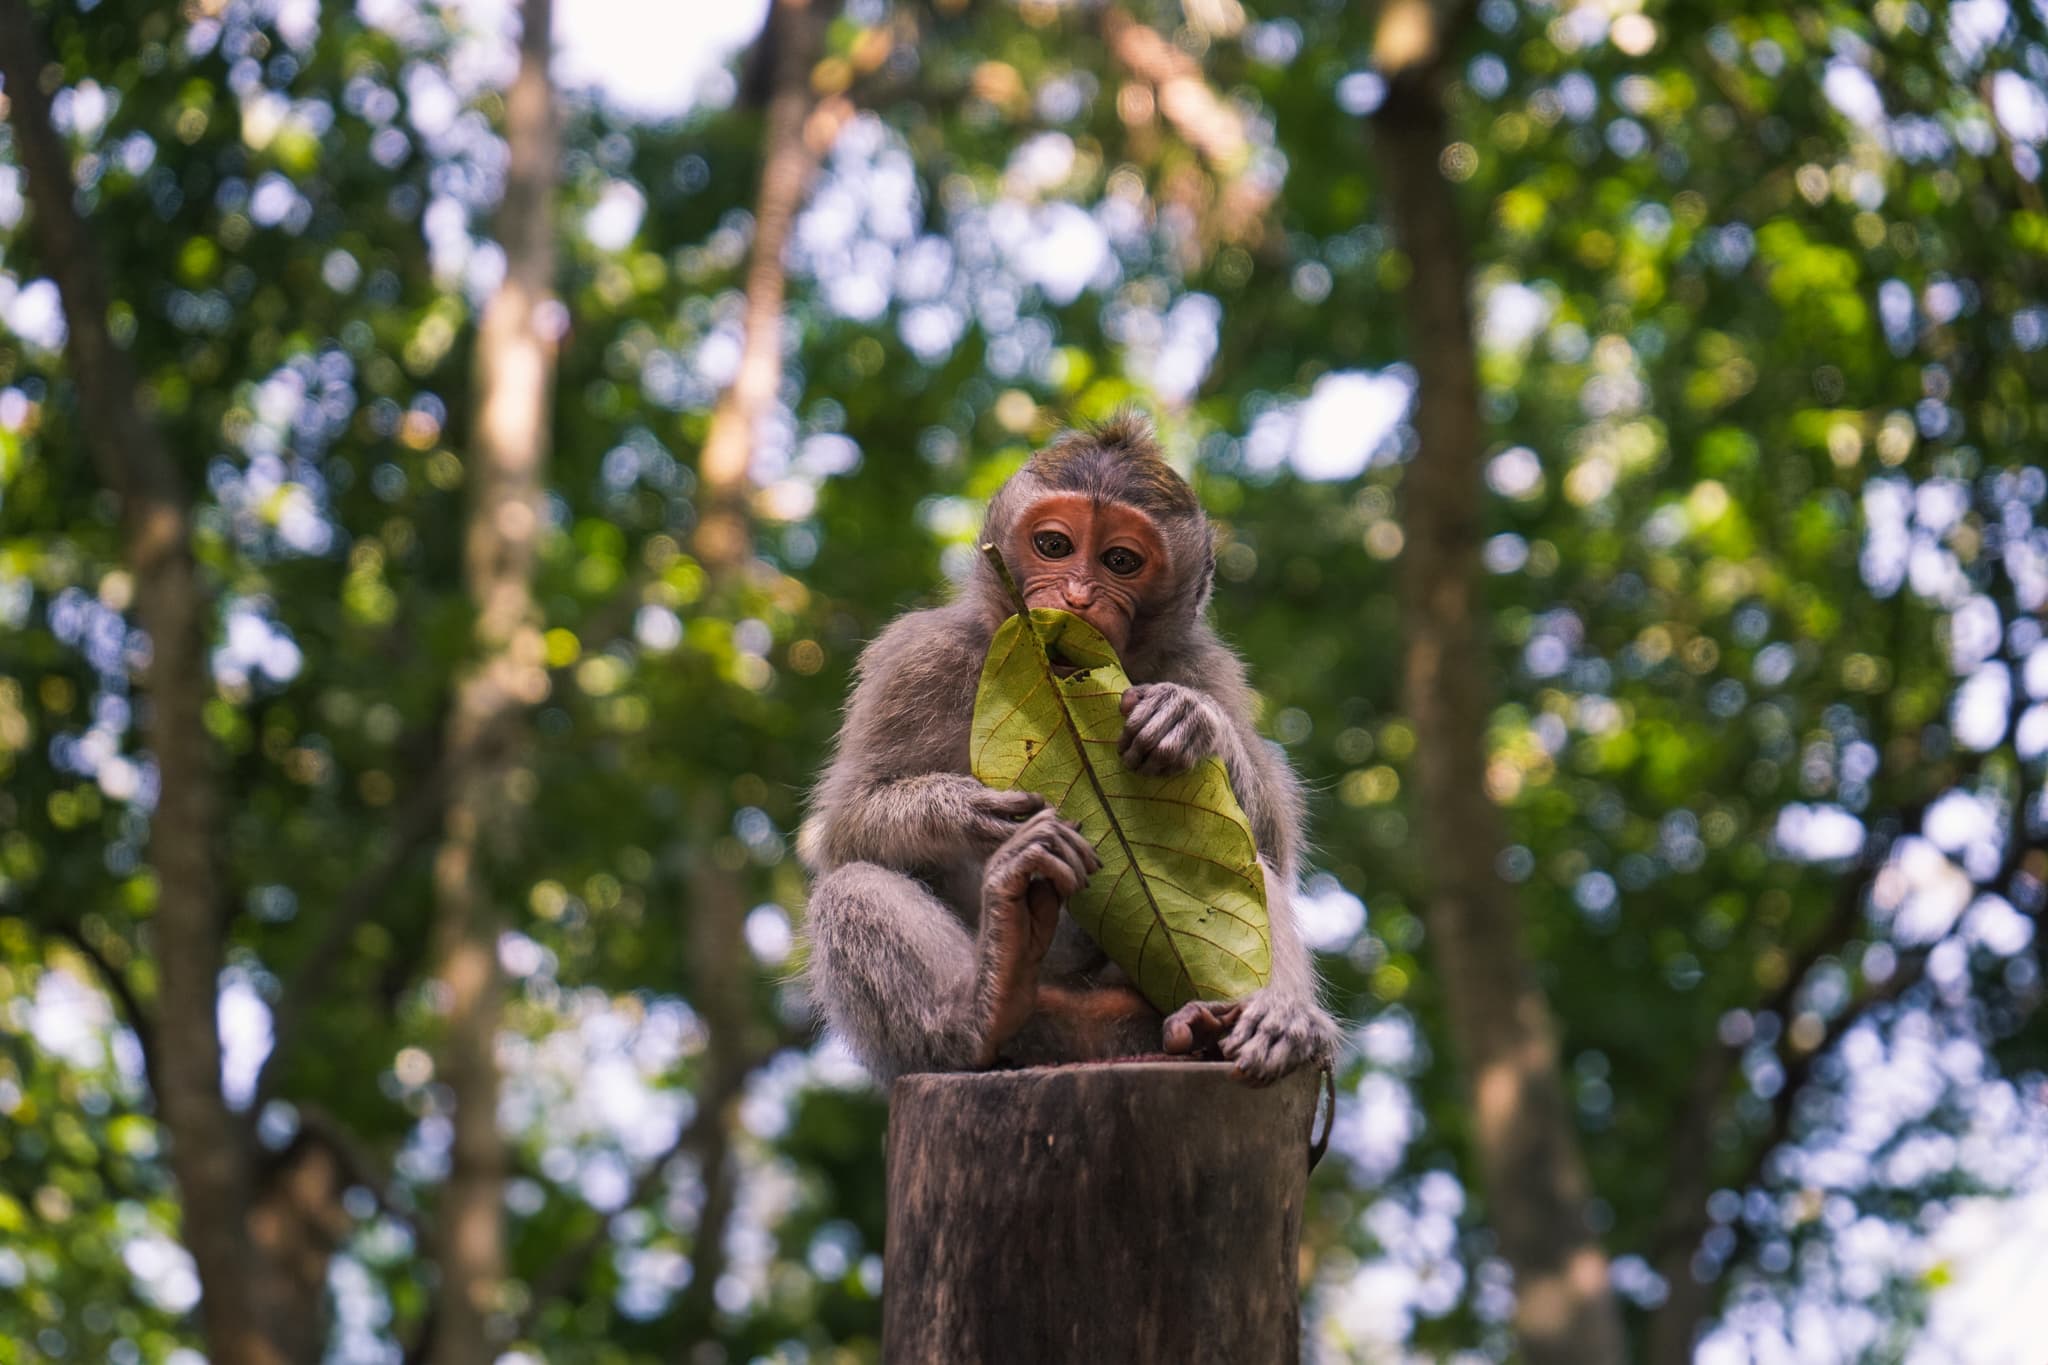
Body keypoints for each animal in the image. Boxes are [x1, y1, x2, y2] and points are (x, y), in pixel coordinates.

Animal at [798, 415, 1338, 1085]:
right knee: (850, 888)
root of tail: (1085, 1036)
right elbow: (843, 830)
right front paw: (969, 811)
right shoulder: (919, 658)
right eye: (1054, 546)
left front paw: (1190, 721)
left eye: (1120, 560)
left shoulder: (1205, 665)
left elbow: (1273, 847)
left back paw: (1265, 1021)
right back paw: (984, 1001)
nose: (1078, 597)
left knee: (1245, 867)